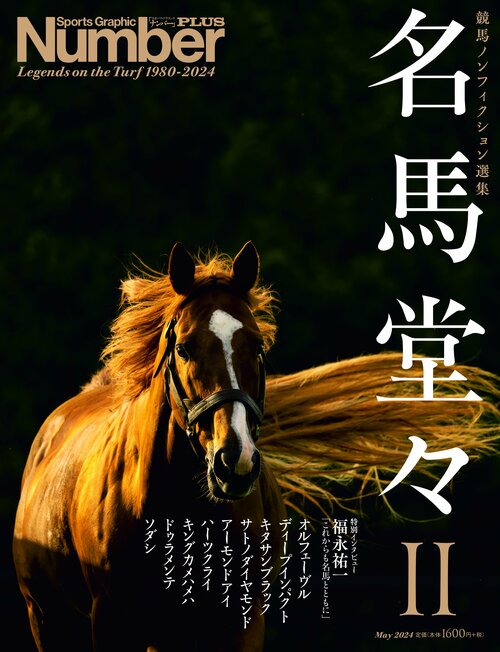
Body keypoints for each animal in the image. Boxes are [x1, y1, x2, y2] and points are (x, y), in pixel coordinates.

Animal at [13, 241, 500, 651]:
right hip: (48, 619)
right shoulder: (112, 620)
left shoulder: (240, 622)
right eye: (184, 348)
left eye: (258, 345)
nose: (236, 461)